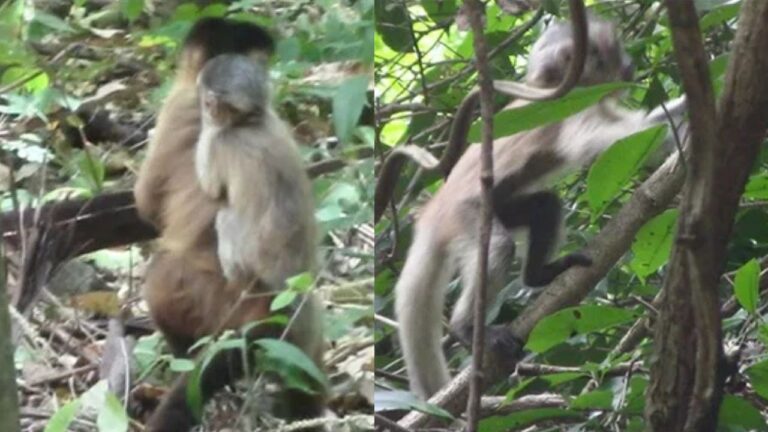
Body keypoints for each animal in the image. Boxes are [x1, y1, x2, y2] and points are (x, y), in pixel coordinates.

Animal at [194, 53, 317, 289]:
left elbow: (211, 190)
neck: (249, 122)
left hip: (251, 254)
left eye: (208, 103)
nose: (208, 110)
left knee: (224, 218)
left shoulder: (216, 140)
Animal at [393, 16, 688, 399]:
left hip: (498, 208)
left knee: (546, 205)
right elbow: (622, 140)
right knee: (499, 246)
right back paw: (466, 329)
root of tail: (430, 215)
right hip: (463, 215)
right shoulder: (574, 106)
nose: (629, 66)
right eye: (608, 55)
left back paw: (537, 275)